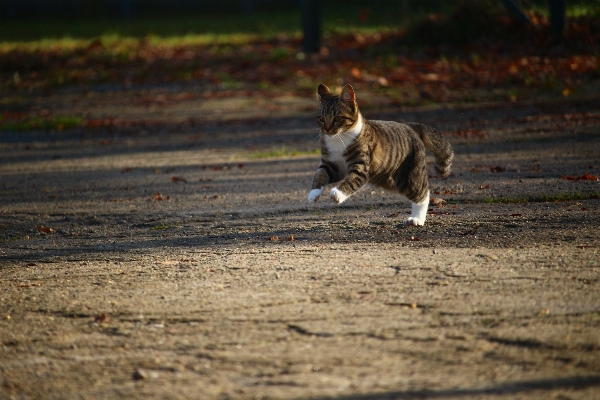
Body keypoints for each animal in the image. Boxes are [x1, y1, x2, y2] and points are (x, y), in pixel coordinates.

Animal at [308, 83, 452, 227]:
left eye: (337, 118)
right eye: (321, 118)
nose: (326, 129)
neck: (338, 139)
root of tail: (410, 127)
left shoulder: (361, 166)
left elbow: (352, 179)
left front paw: (337, 193)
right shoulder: (332, 165)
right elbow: (320, 175)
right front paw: (313, 193)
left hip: (408, 175)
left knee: (422, 193)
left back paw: (417, 219)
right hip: (388, 178)